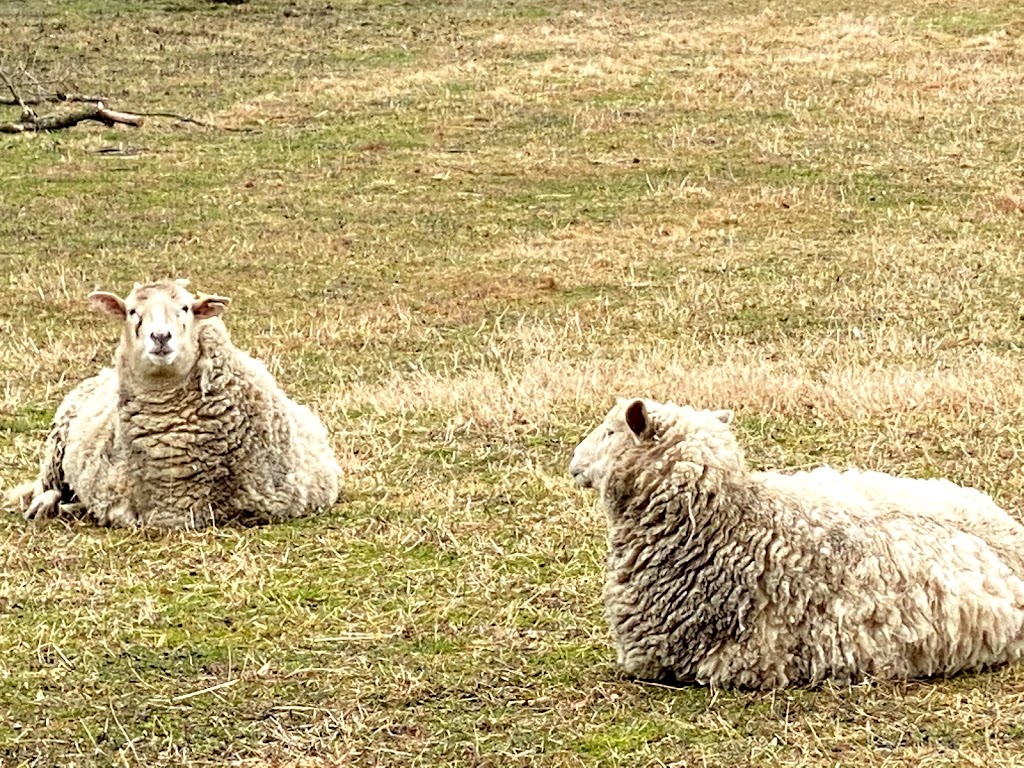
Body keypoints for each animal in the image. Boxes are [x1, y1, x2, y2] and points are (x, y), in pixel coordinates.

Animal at [6, 280, 342, 528]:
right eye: (131, 311)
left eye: (186, 308)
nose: (160, 337)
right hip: (56, 447)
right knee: (47, 488)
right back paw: (44, 507)